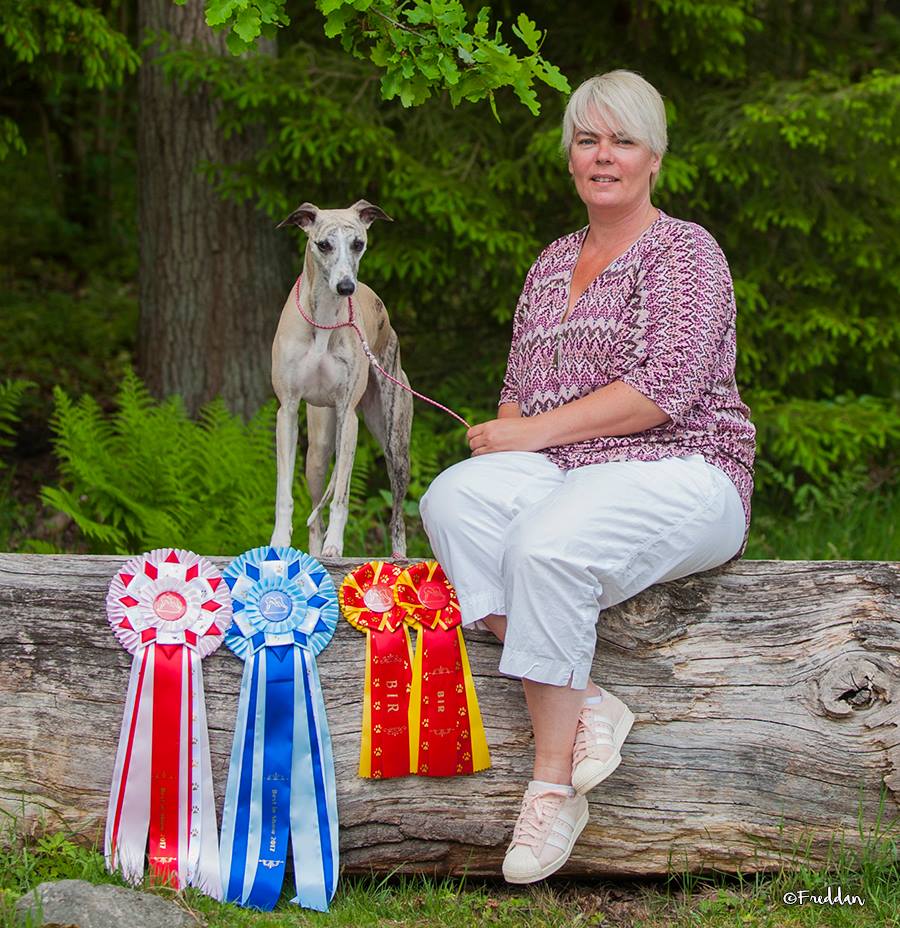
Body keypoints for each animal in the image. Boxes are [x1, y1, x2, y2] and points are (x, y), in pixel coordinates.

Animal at [268, 198, 414, 556]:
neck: (323, 322)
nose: (346, 286)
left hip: (394, 443)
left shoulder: (349, 416)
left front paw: (335, 545)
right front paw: (279, 541)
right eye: (324, 244)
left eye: (358, 243)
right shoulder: (287, 411)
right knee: (315, 509)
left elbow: (342, 497)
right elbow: (284, 493)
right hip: (318, 449)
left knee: (398, 516)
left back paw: (398, 557)